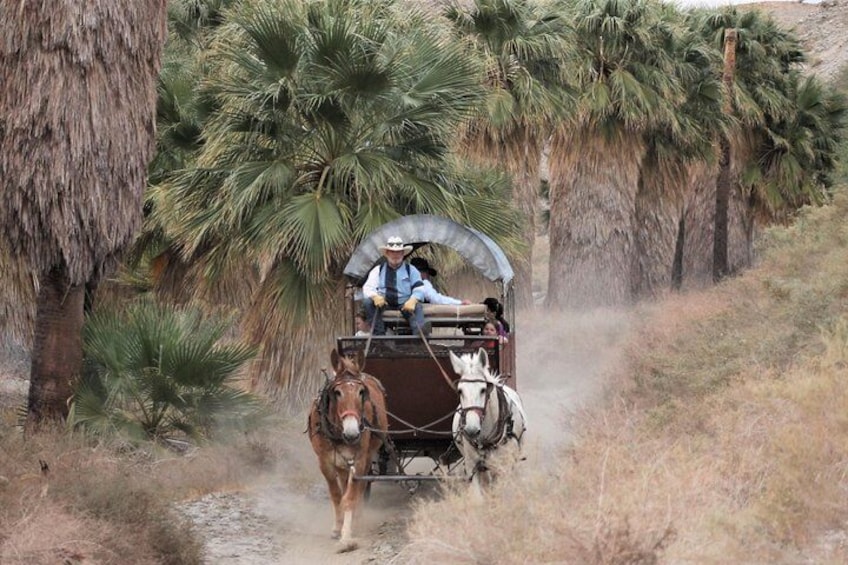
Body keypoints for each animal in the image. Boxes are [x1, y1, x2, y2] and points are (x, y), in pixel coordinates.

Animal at [308, 346, 388, 548]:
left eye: (361, 392)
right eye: (337, 392)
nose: (352, 433)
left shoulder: (358, 461)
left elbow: (351, 496)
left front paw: (347, 534)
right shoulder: (325, 463)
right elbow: (337, 495)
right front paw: (338, 528)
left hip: (367, 457)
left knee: (359, 488)